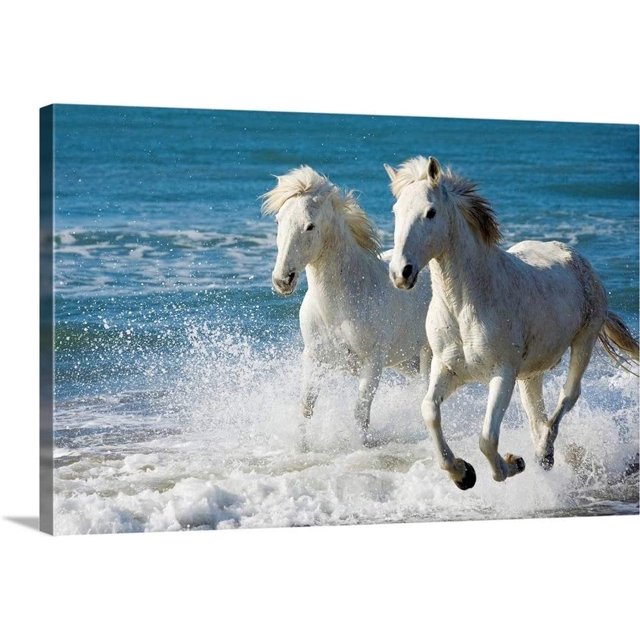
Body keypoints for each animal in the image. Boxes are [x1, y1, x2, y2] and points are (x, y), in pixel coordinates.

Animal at [262, 166, 432, 447]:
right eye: (278, 221)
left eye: (310, 226)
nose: (282, 280)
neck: (340, 306)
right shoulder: (314, 357)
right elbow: (306, 407)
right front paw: (301, 447)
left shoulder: (373, 361)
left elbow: (361, 412)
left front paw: (361, 446)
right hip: (410, 360)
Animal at [385, 155, 639, 490]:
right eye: (396, 211)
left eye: (430, 212)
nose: (401, 272)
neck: (465, 305)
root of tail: (576, 258)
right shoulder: (447, 368)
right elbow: (429, 411)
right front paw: (462, 473)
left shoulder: (502, 374)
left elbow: (487, 439)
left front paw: (510, 464)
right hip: (531, 373)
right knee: (536, 414)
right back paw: (544, 455)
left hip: (583, 342)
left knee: (567, 398)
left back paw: (542, 452)